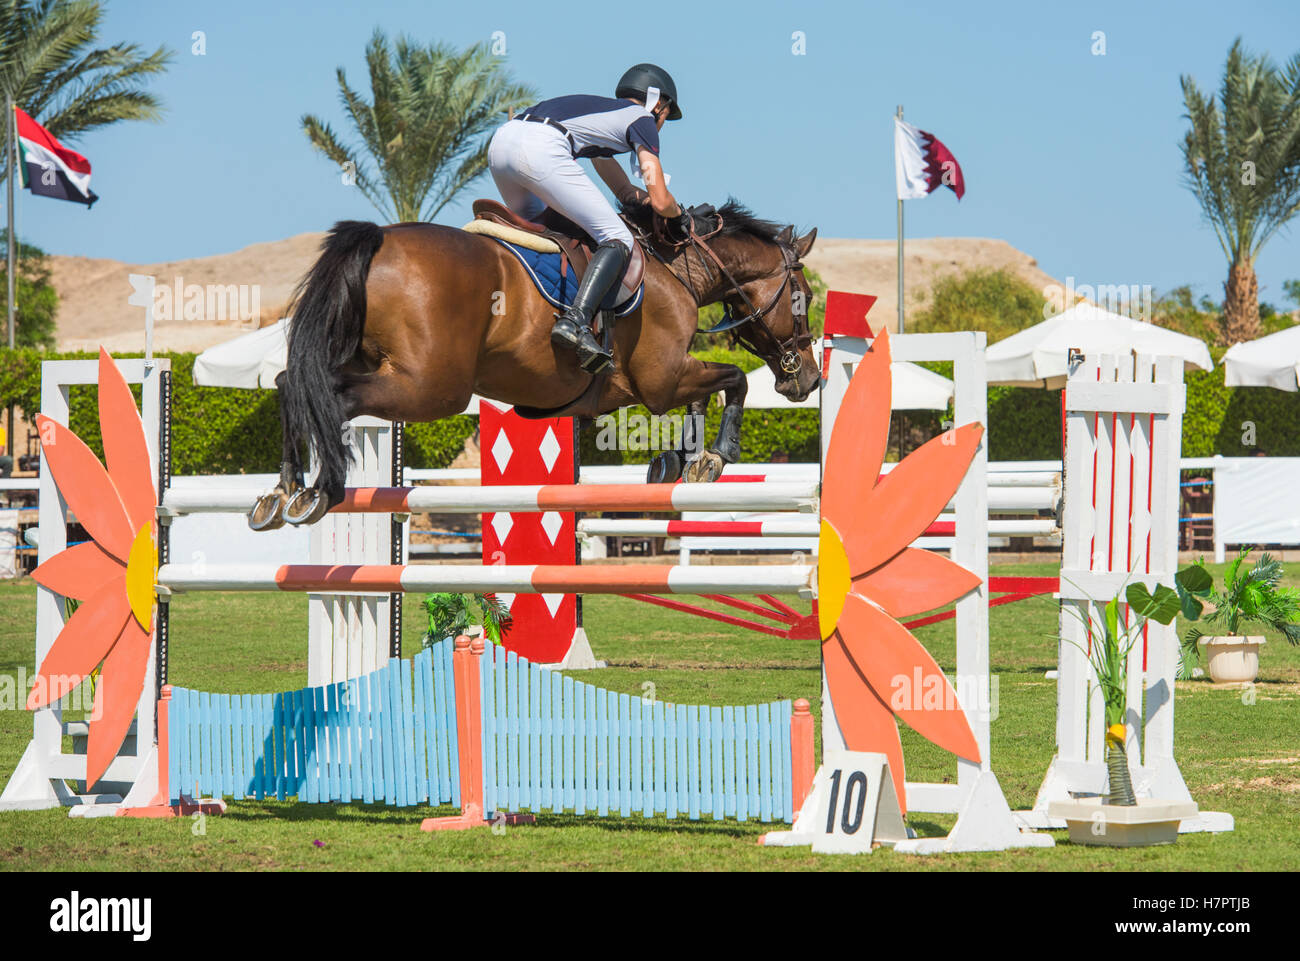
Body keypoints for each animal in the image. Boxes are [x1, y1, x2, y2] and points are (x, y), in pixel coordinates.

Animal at [248, 201, 816, 530]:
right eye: (805, 298)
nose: (808, 379)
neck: (676, 268)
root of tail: (379, 239)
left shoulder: (652, 385)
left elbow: (704, 396)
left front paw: (679, 459)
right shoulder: (661, 380)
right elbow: (733, 380)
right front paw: (715, 457)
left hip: (376, 366)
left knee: (290, 383)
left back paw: (281, 492)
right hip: (430, 389)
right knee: (331, 399)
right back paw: (322, 490)